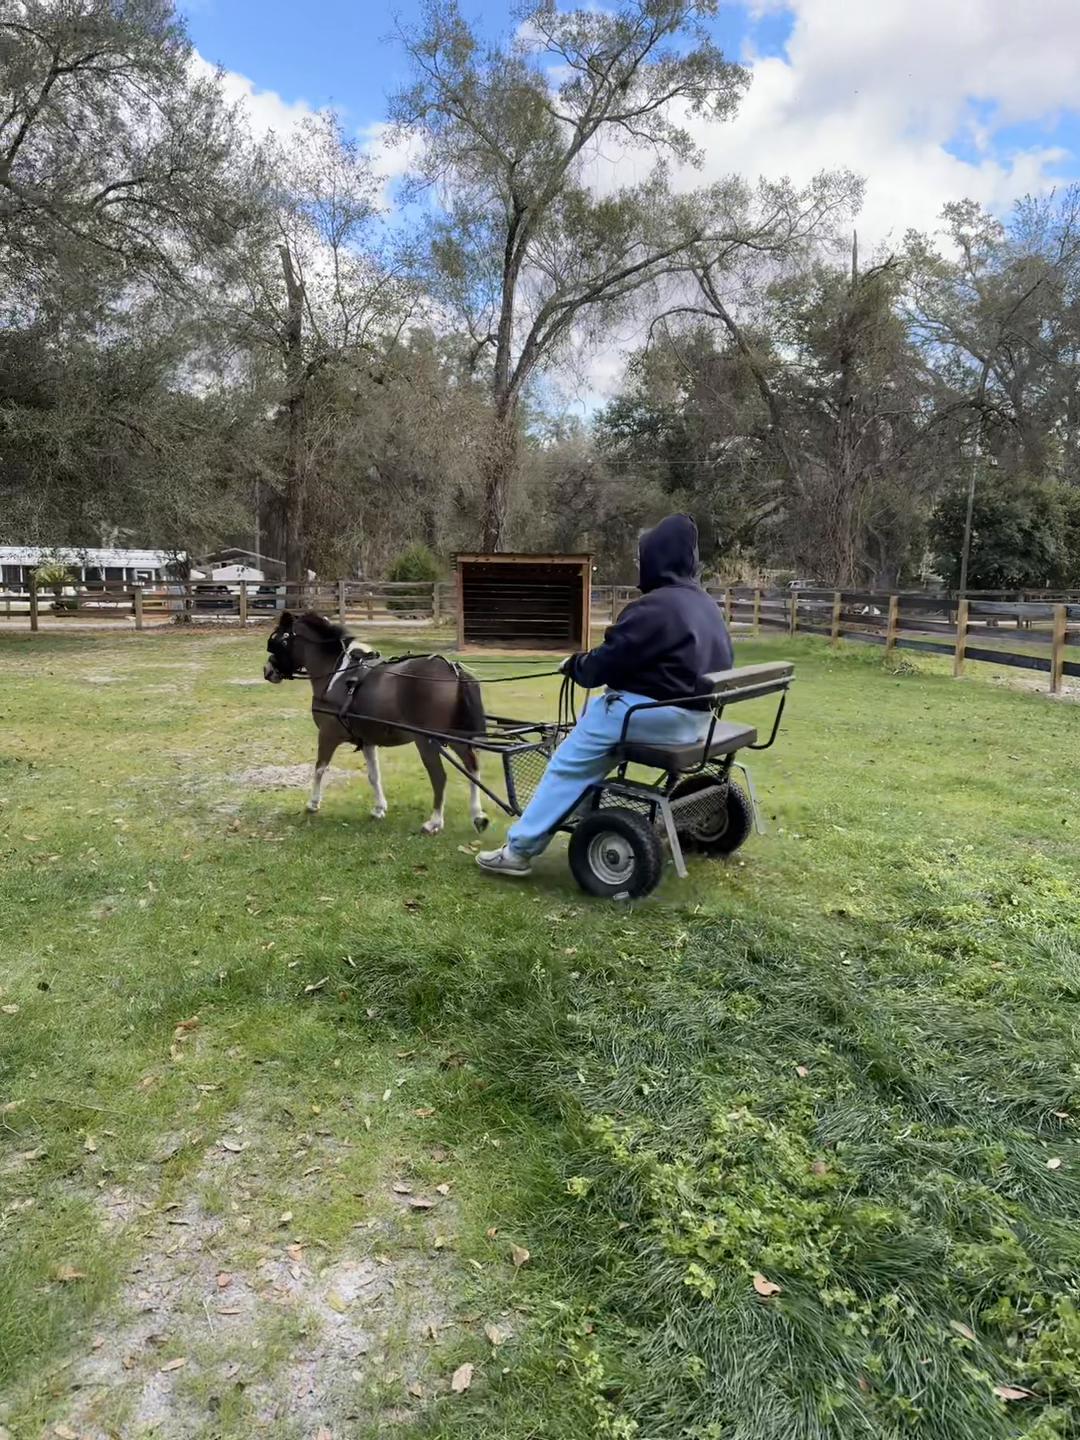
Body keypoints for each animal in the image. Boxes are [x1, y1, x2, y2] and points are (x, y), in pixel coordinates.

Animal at [263, 610, 489, 835]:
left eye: (278, 641)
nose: (267, 670)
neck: (336, 674)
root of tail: (454, 671)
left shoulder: (328, 734)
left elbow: (320, 768)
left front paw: (313, 803)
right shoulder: (367, 740)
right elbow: (374, 775)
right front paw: (379, 808)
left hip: (427, 740)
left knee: (439, 776)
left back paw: (434, 821)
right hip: (456, 736)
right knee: (472, 767)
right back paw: (477, 815)